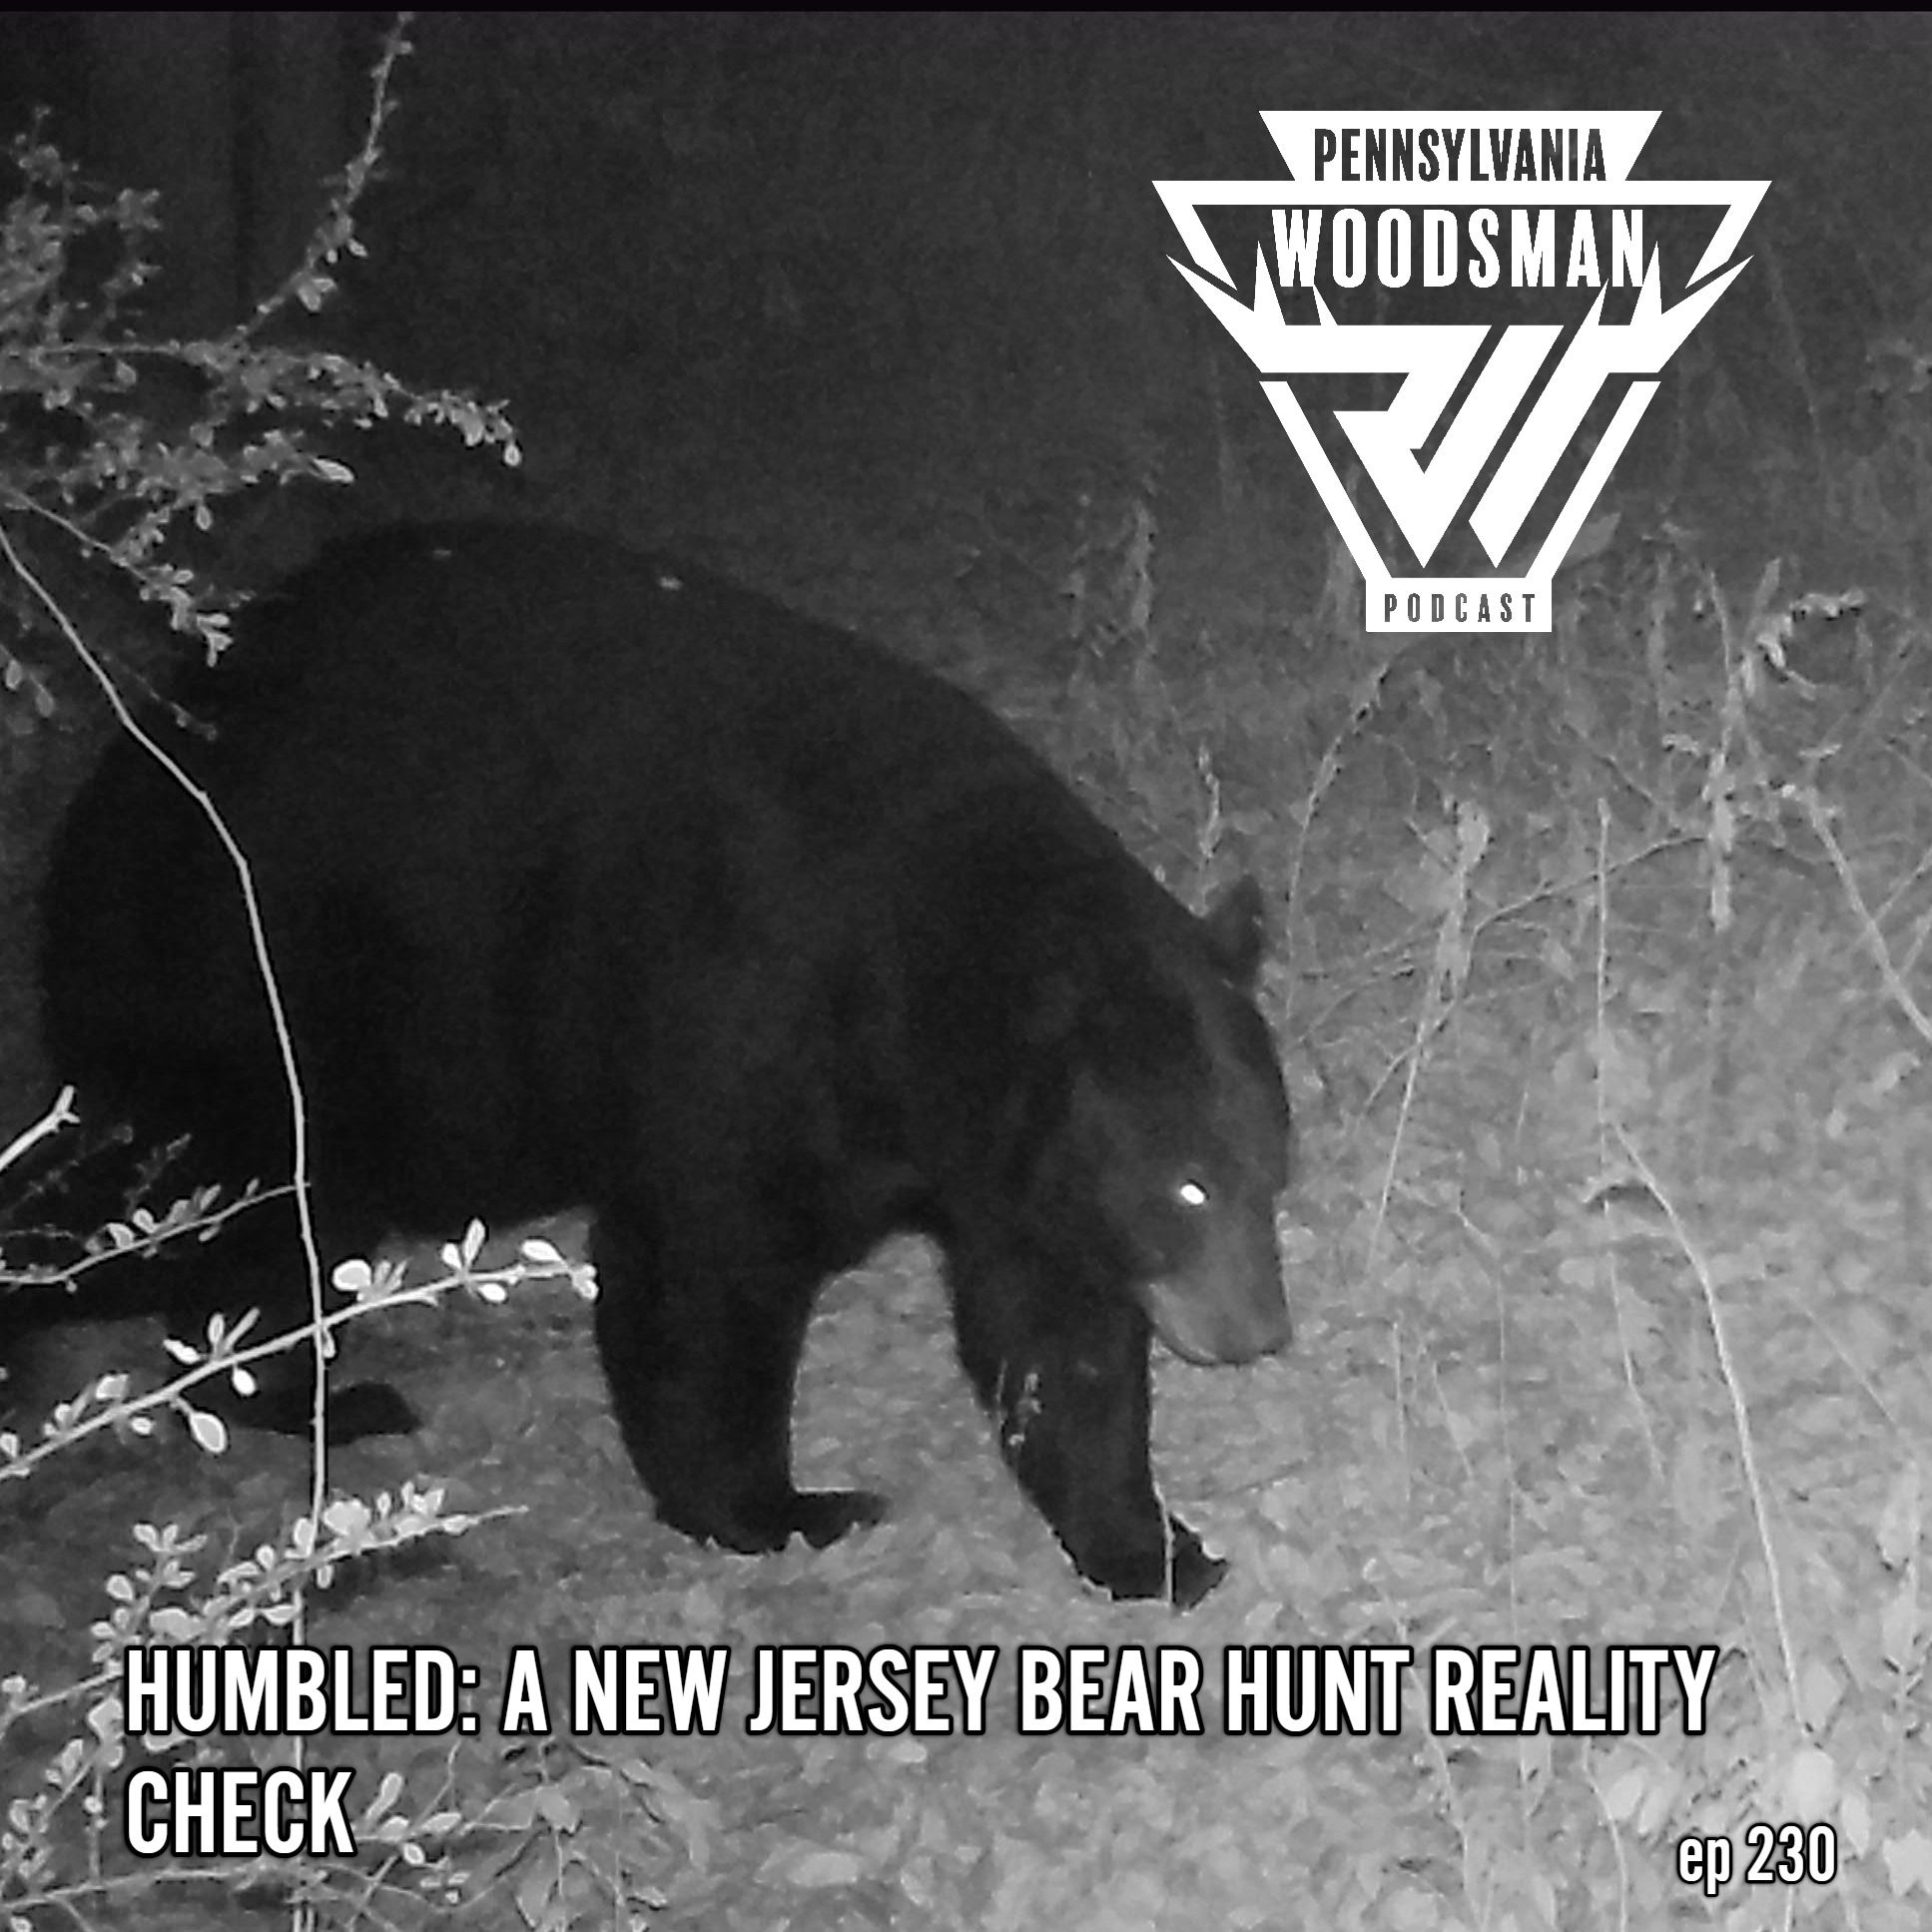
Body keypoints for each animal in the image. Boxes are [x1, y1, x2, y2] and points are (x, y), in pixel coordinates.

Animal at [27, 523, 1292, 1605]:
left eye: (1271, 1175)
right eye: (1188, 1187)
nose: (1258, 1333)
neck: (913, 966)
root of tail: (114, 778)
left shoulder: (1011, 1161)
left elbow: (1053, 1334)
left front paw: (1152, 1548)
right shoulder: (733, 1027)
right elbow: (699, 1280)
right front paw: (791, 1508)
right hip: (250, 1004)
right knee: (181, 1208)